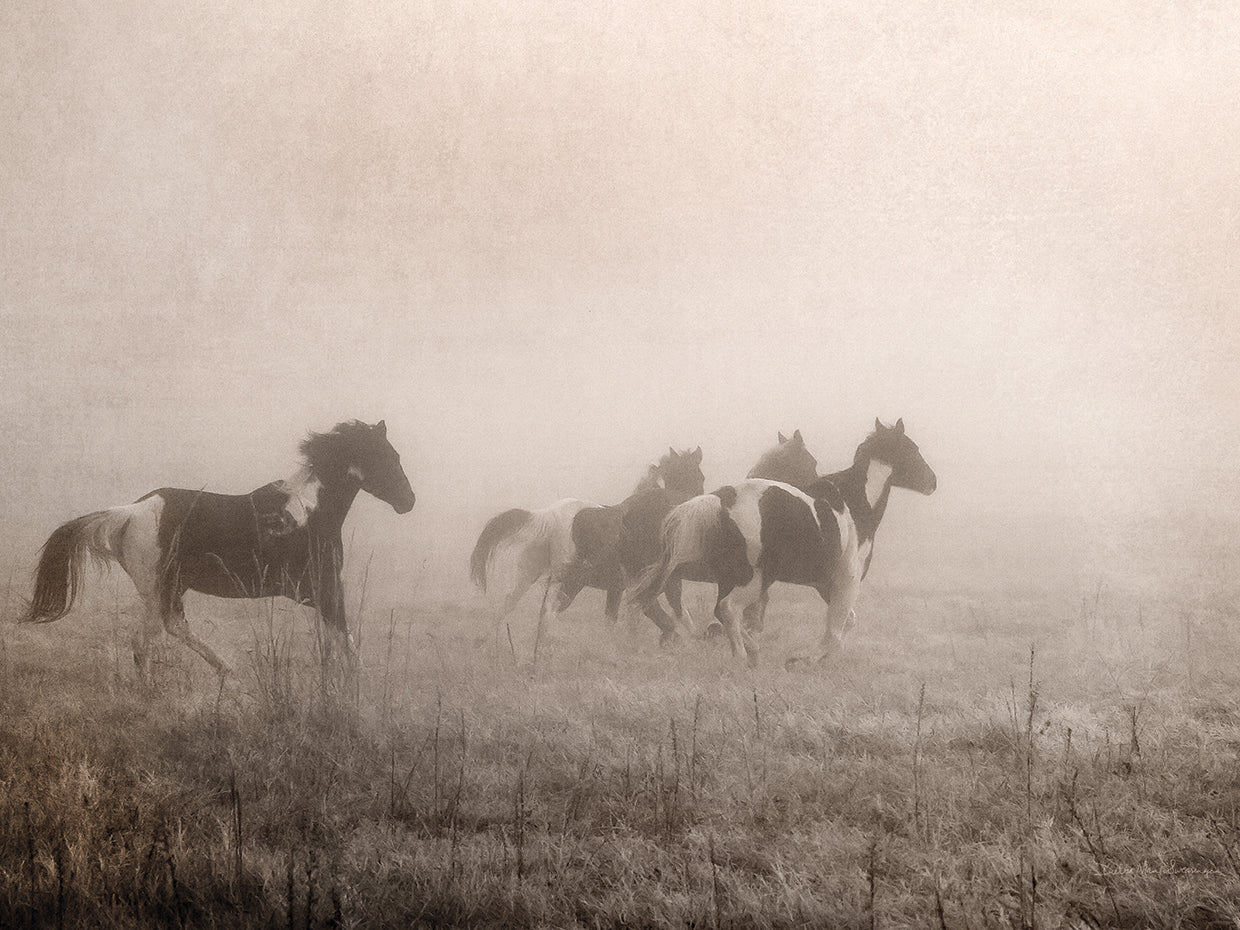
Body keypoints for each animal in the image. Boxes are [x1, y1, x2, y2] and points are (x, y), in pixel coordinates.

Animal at [19, 419, 415, 681]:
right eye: (390, 456)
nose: (408, 501)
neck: (306, 514)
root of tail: (129, 512)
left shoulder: (320, 593)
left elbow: (333, 640)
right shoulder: (326, 589)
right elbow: (345, 636)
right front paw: (359, 683)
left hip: (165, 589)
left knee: (164, 631)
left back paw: (223, 669)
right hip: (160, 589)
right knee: (151, 637)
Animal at [469, 447, 704, 642]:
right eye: (700, 475)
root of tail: (548, 516)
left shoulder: (618, 587)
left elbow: (614, 620)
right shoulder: (665, 582)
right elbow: (676, 614)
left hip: (528, 576)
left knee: (505, 608)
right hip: (573, 580)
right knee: (548, 613)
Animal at [629, 419, 936, 666]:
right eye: (913, 449)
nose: (932, 482)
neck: (855, 505)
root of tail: (719, 498)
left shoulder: (826, 583)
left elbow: (847, 621)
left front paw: (818, 659)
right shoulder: (848, 579)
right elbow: (836, 630)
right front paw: (805, 660)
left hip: (733, 576)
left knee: (719, 611)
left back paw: (748, 651)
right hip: (751, 579)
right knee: (727, 609)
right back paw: (742, 657)